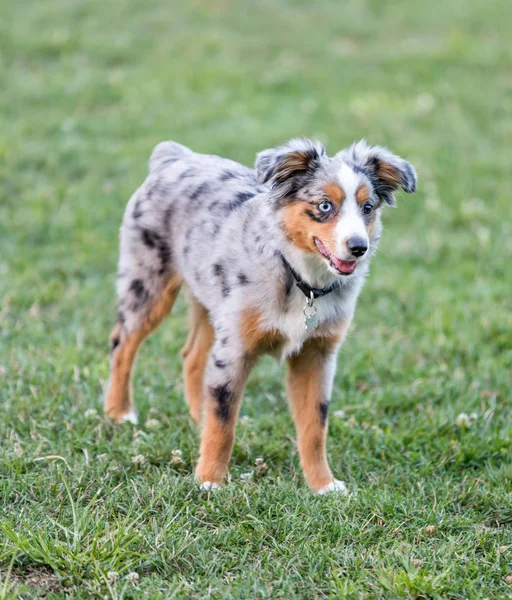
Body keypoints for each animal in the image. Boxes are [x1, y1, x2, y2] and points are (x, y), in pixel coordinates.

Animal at [104, 138, 416, 494]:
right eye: (325, 206)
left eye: (367, 208)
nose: (358, 247)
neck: (300, 279)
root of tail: (175, 156)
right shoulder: (235, 349)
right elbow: (224, 423)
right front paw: (209, 481)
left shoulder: (317, 354)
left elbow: (314, 426)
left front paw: (323, 484)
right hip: (148, 285)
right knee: (122, 343)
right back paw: (119, 412)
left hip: (211, 301)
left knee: (192, 355)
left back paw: (197, 415)